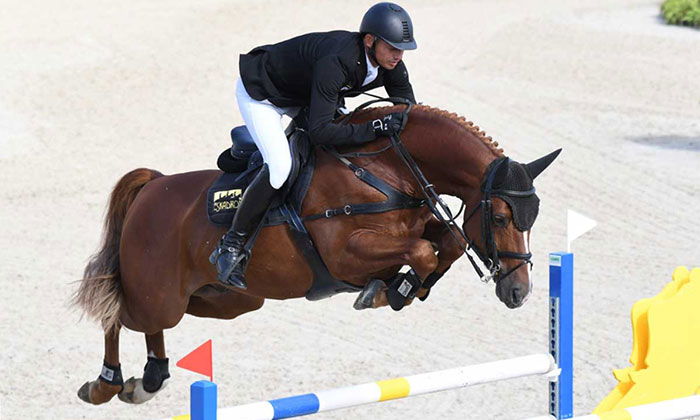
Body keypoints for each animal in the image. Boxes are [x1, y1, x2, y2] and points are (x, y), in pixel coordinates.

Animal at [74, 103, 560, 406]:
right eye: (500, 217)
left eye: (532, 218)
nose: (519, 292)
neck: (388, 168)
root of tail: (152, 186)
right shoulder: (346, 252)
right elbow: (422, 251)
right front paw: (390, 291)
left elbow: (449, 243)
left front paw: (403, 288)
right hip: (157, 292)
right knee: (118, 313)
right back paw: (106, 385)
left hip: (229, 300)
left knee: (157, 323)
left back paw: (148, 380)